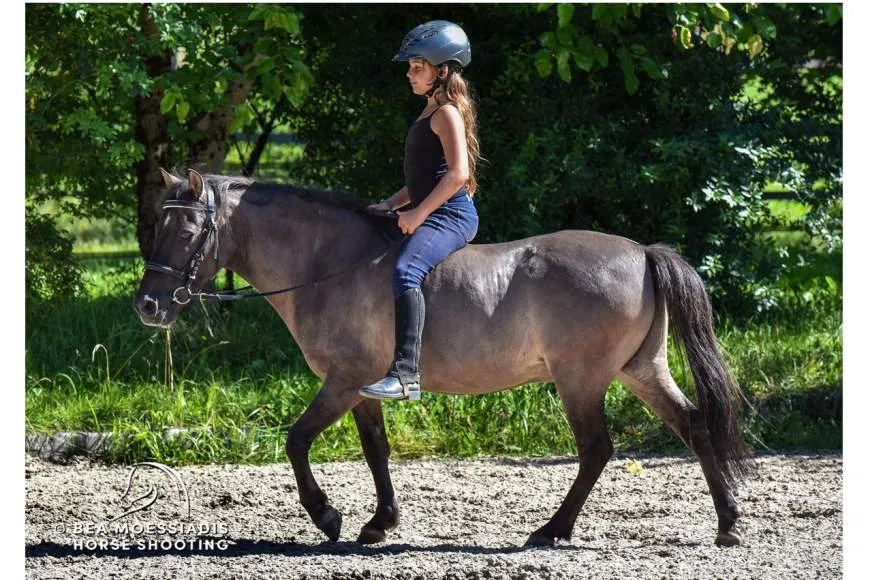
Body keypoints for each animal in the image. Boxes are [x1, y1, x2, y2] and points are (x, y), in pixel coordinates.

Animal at [135, 169, 756, 548]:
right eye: (157, 223)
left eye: (186, 229)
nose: (148, 305)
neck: (328, 263)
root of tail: (642, 252)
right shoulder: (362, 386)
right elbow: (376, 450)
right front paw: (379, 523)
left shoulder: (342, 381)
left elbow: (296, 440)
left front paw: (328, 516)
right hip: (641, 370)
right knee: (694, 426)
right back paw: (727, 524)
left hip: (581, 379)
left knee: (597, 449)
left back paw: (552, 529)